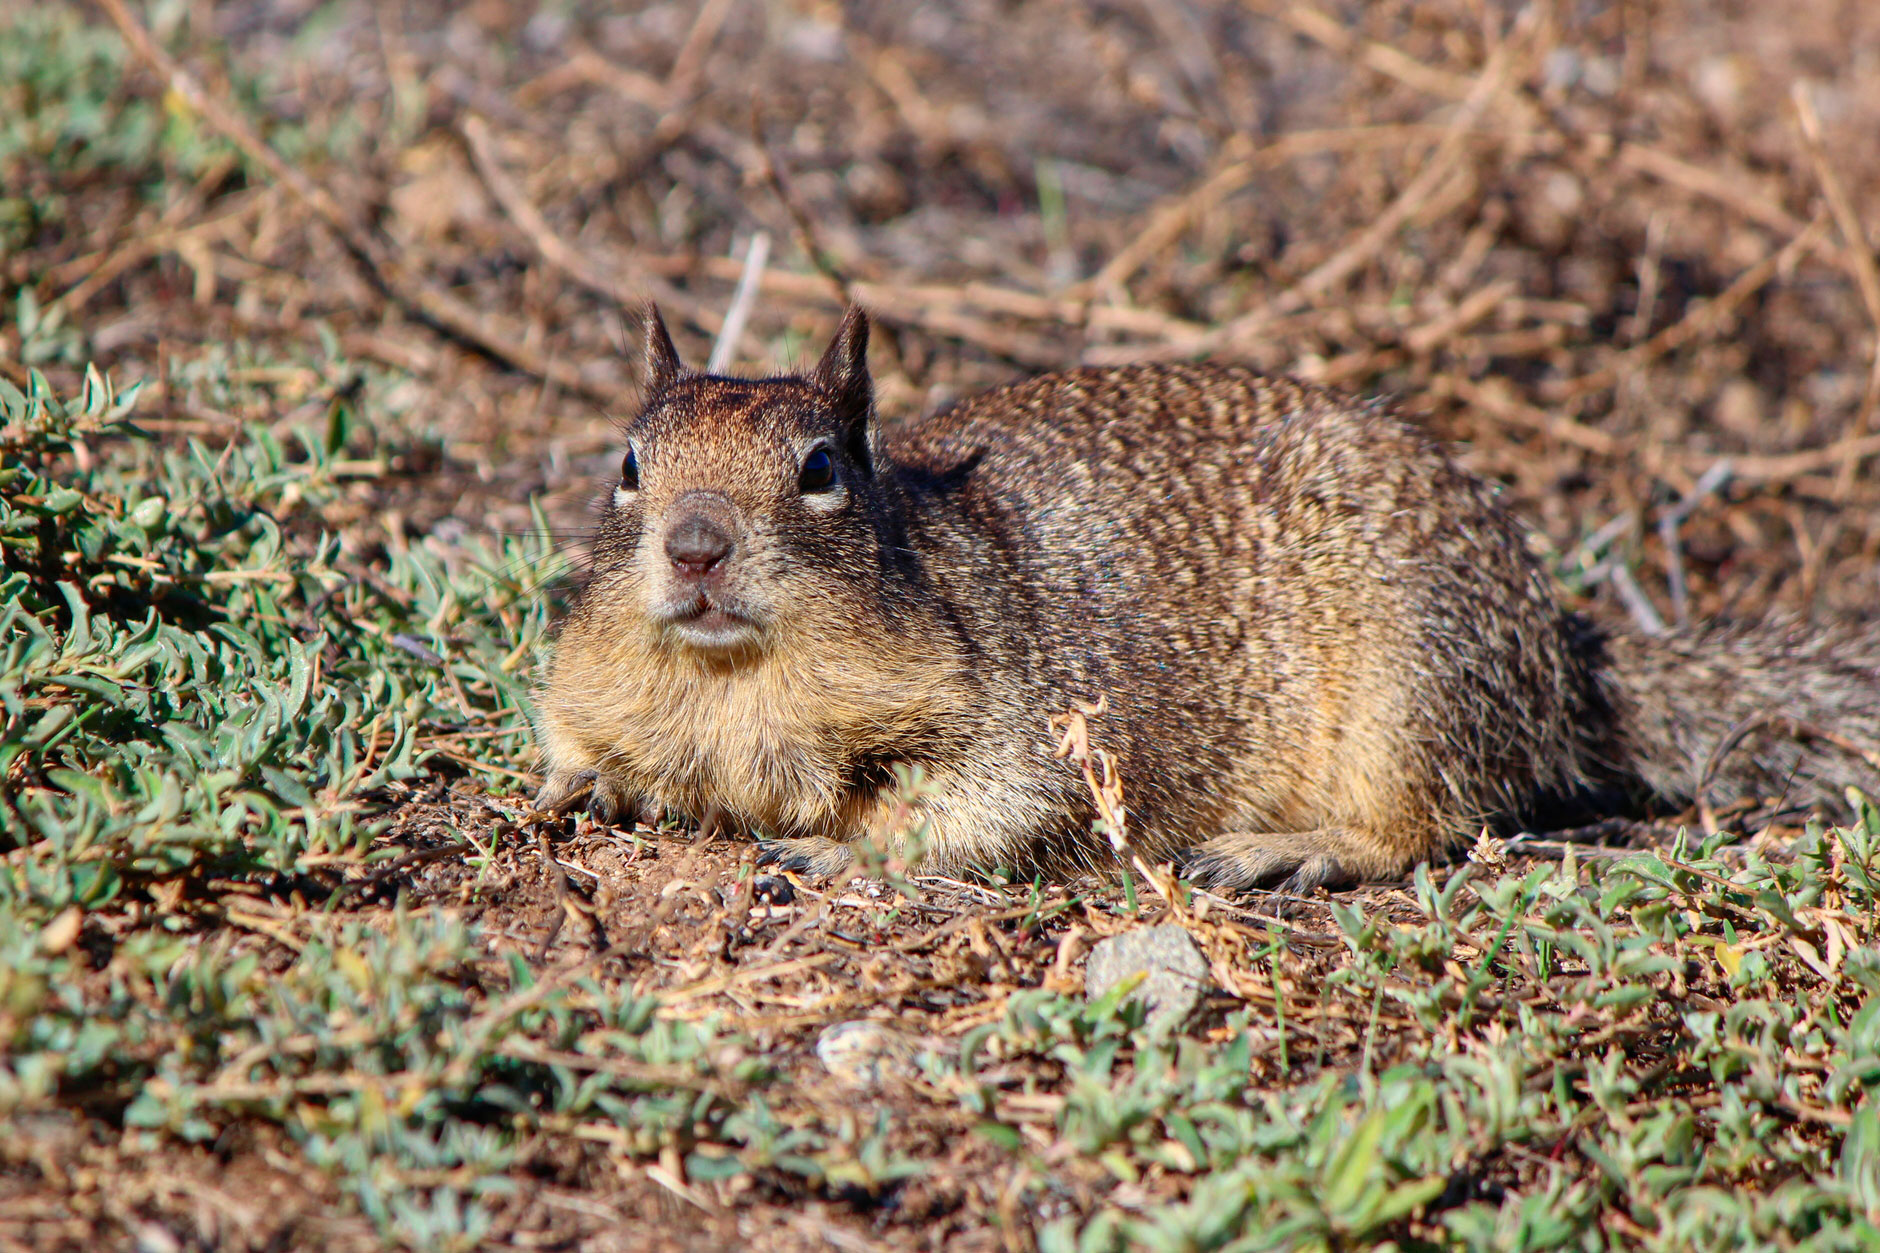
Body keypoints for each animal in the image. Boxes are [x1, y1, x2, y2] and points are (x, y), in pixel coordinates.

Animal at [533, 306, 1880, 892]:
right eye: (627, 463)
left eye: (819, 469)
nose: (695, 547)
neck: (736, 689)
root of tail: (1560, 649)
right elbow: (580, 742)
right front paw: (583, 786)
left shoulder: (1026, 730)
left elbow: (976, 817)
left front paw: (831, 847)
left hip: (1410, 684)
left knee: (1429, 822)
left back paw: (1284, 849)